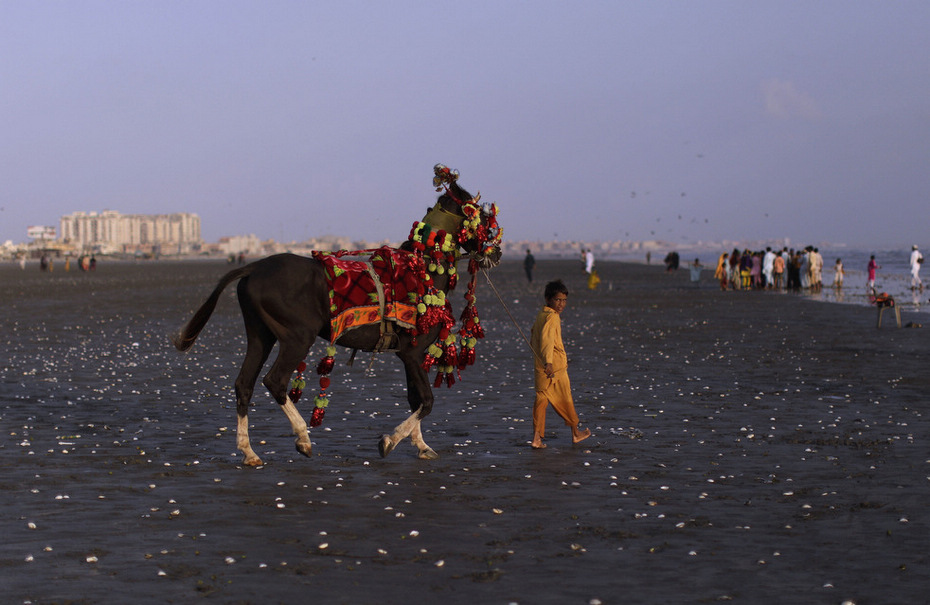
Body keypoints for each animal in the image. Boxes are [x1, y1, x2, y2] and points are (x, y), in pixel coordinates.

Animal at [178, 166, 504, 468]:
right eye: (482, 218)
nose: (496, 252)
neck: (421, 270)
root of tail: (254, 267)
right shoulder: (412, 354)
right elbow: (426, 402)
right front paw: (389, 440)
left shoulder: (410, 356)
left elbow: (416, 400)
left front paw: (422, 446)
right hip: (298, 337)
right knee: (275, 381)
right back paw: (303, 438)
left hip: (261, 335)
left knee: (244, 384)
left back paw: (249, 452)